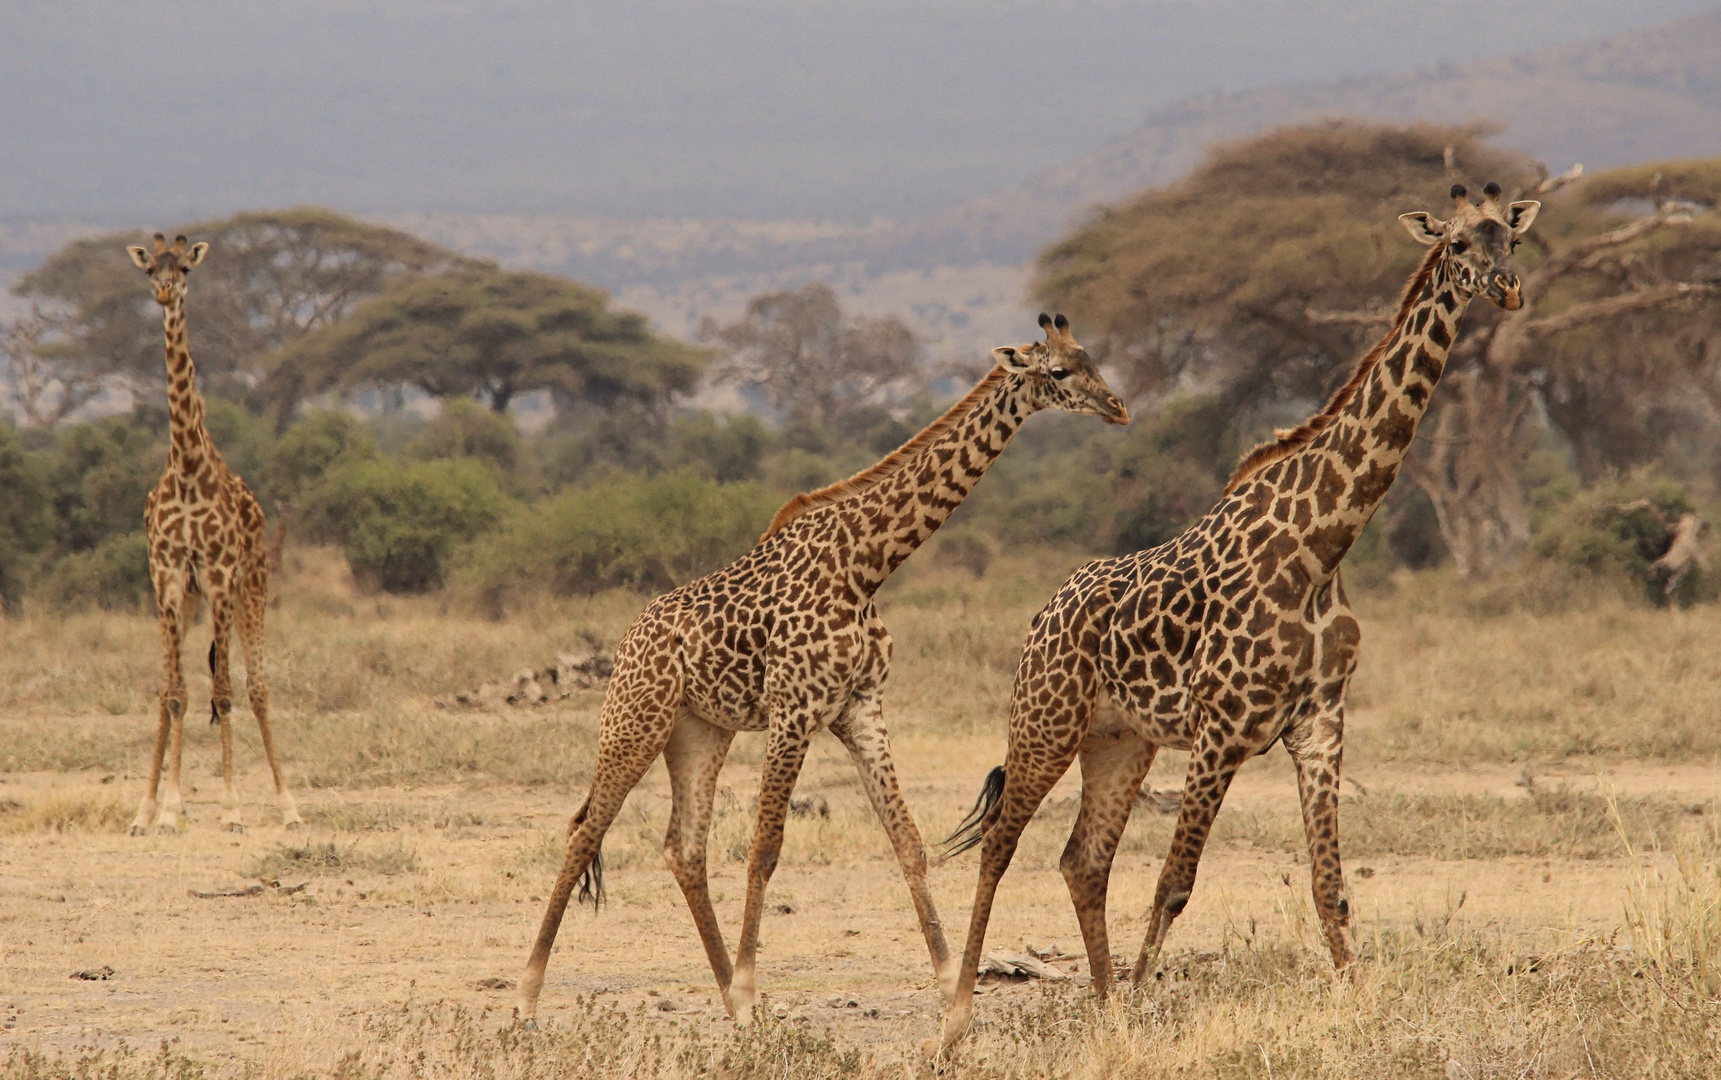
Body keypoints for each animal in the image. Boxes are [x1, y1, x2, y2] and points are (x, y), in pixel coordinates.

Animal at [125, 233, 302, 835]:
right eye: (150, 268)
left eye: (184, 268)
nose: (162, 291)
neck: (187, 467)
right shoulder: (167, 578)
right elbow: (174, 693)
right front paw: (162, 809)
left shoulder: (222, 576)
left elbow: (224, 692)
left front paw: (230, 808)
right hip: (191, 601)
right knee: (172, 688)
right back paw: (154, 807)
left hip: (253, 587)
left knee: (258, 686)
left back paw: (288, 806)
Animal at [509, 314, 1128, 1031]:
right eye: (1058, 371)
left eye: (1092, 359)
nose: (1118, 407)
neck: (866, 564)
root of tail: (627, 641)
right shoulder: (794, 709)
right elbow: (765, 847)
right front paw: (754, 988)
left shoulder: (859, 707)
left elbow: (907, 840)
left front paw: (950, 983)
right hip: (636, 718)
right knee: (585, 830)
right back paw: (528, 996)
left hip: (699, 731)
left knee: (683, 847)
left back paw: (724, 995)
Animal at [936, 181, 1542, 1052]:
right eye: (1458, 244)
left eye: (1512, 242)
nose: (1507, 289)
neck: (1322, 545)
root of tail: (1040, 616)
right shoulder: (1221, 729)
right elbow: (1174, 883)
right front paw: (1147, 1008)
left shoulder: (1319, 721)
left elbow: (1329, 886)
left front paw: (1355, 1006)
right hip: (1043, 722)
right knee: (999, 844)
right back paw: (957, 1019)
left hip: (1119, 740)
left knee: (1082, 860)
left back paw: (1103, 1007)